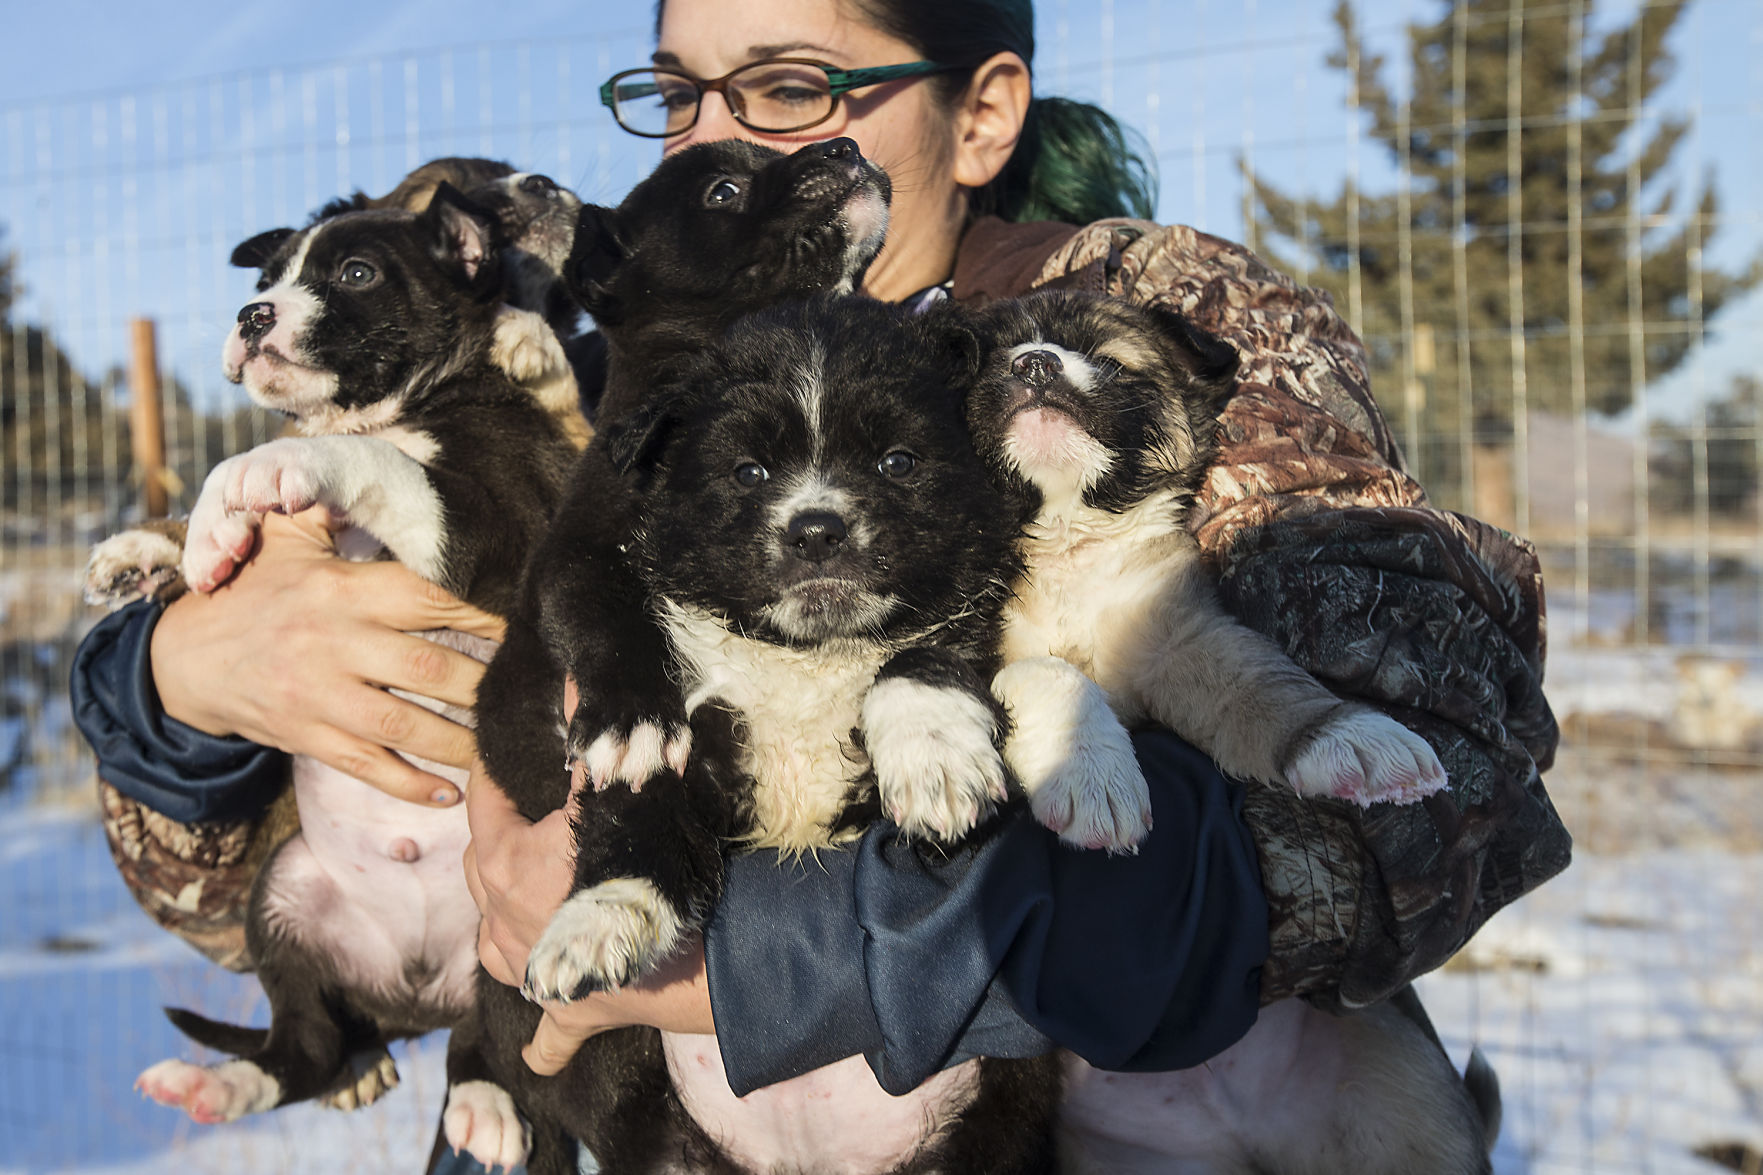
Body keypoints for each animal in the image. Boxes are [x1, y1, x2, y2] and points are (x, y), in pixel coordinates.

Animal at [100, 183, 581, 1171]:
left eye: (355, 273)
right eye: (265, 281)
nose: (251, 317)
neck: (395, 403)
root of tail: (410, 1000)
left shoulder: (501, 534)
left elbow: (370, 462)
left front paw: (262, 470)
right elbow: (211, 514)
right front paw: (158, 546)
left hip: (508, 916)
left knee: (488, 1036)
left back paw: (485, 1102)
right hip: (282, 899)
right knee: (308, 1049)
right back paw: (217, 1084)